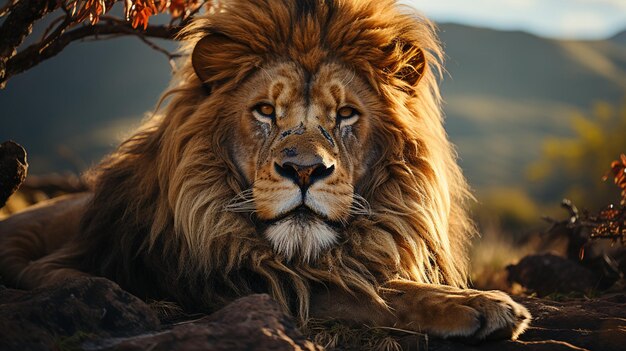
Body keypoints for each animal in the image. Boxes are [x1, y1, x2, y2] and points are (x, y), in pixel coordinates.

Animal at [0, 0, 528, 342]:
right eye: (266, 111)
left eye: (346, 114)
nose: (304, 170)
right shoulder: (222, 278)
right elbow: (361, 292)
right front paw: (479, 304)